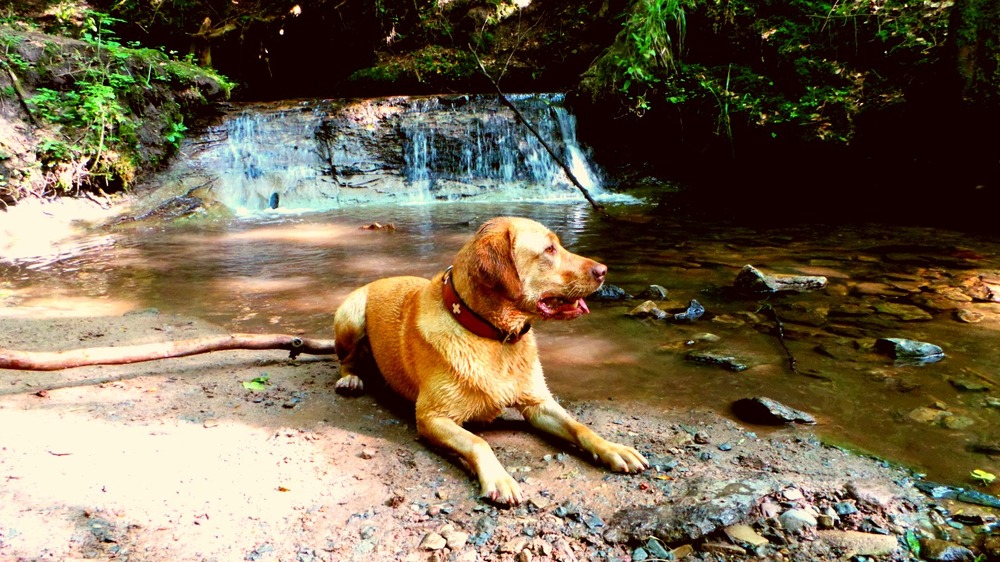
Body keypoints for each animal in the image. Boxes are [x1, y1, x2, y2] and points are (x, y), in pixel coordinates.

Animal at [336, 215, 648, 504]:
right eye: (549, 249)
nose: (603, 271)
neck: (494, 336)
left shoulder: (539, 404)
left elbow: (579, 426)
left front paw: (613, 448)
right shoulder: (431, 416)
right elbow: (477, 442)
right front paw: (499, 478)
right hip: (351, 316)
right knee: (346, 359)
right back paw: (350, 378)